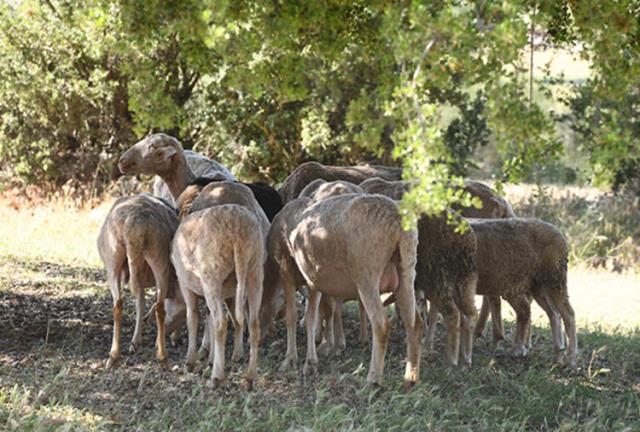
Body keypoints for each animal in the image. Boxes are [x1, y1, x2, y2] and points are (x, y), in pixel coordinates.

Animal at [94, 192, 178, 368]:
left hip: (113, 259)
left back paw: (113, 355)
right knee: (160, 307)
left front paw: (135, 341)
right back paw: (162, 355)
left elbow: (140, 304)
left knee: (118, 304)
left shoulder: (139, 279)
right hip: (159, 258)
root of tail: (133, 226)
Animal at [171, 204, 264, 390]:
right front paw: (212, 359)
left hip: (212, 273)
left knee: (221, 323)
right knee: (253, 323)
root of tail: (238, 234)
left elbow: (193, 318)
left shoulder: (186, 286)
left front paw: (191, 362)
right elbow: (211, 321)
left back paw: (216, 378)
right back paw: (250, 377)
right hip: (255, 269)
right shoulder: (226, 293)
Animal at [268, 194, 422, 386]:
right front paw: (310, 362)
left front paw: (290, 359)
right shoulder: (313, 278)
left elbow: (292, 316)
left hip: (366, 273)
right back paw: (411, 378)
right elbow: (311, 317)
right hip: (406, 270)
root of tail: (398, 220)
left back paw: (373, 379)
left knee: (381, 324)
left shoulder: (286, 268)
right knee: (414, 323)